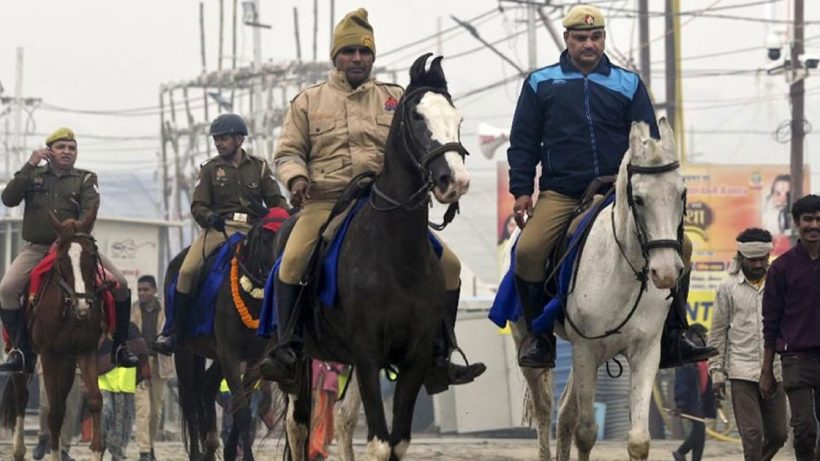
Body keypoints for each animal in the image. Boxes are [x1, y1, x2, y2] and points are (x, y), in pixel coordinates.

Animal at [0, 210, 110, 458]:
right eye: (62, 260)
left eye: (91, 256)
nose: (83, 306)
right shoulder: (49, 355)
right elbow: (55, 411)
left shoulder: (86, 351)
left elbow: (95, 400)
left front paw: (96, 451)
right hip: (27, 357)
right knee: (21, 396)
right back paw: (19, 450)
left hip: (67, 362)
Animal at [510, 118, 684, 460]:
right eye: (639, 199)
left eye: (681, 193)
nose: (666, 272)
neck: (624, 273)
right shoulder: (586, 351)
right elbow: (586, 433)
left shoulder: (646, 351)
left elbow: (638, 439)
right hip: (529, 341)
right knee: (545, 408)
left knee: (565, 412)